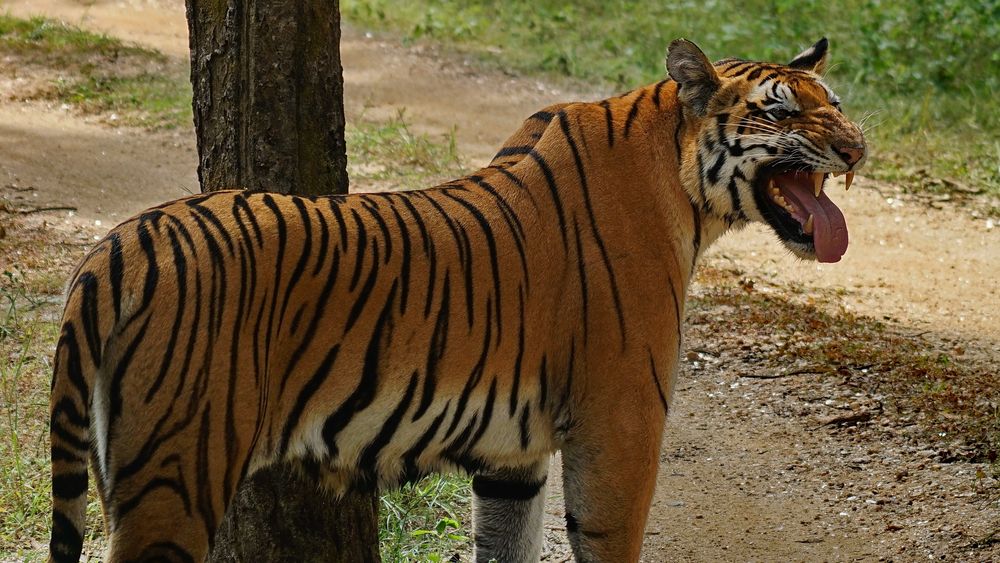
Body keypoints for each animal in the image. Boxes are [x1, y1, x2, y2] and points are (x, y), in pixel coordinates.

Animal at [47, 37, 864, 560]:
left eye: (834, 102)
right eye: (781, 112)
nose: (857, 147)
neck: (685, 188)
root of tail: (116, 245)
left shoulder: (514, 456)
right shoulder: (621, 426)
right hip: (176, 475)